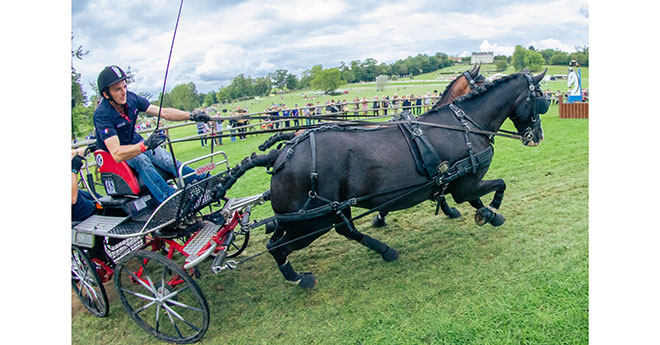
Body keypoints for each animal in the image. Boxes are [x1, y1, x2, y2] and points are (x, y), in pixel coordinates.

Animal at [215, 70, 548, 288]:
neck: (463, 125)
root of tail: (281, 155)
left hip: (323, 212)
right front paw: (493, 211)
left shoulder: (460, 182)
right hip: (311, 222)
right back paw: (298, 277)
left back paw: (384, 250)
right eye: (541, 101)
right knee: (278, 247)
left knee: (338, 230)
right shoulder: (465, 184)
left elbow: (474, 198)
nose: (537, 137)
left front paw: (484, 213)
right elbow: (497, 186)